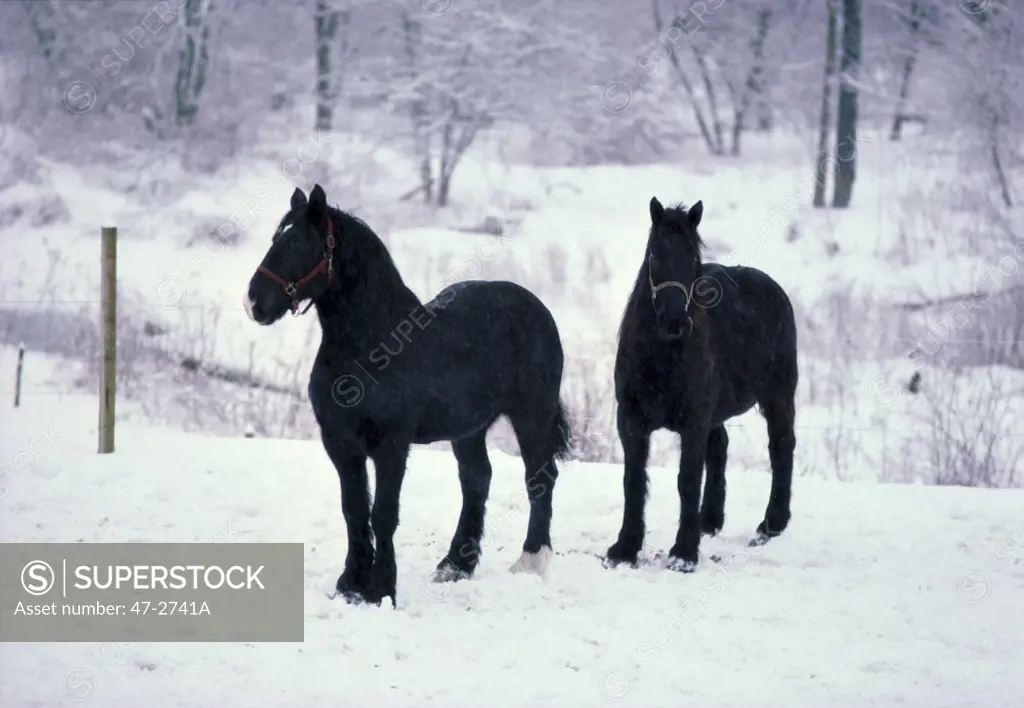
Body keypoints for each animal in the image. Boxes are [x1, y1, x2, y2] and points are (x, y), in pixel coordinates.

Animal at [242, 185, 573, 606]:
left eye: (299, 241)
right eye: (275, 239)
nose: (254, 303)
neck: (372, 347)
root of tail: (535, 306)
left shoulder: (391, 445)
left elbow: (383, 513)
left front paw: (381, 589)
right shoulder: (340, 444)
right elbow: (354, 510)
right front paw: (351, 583)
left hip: (533, 414)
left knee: (540, 477)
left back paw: (532, 560)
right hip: (469, 429)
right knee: (477, 479)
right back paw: (455, 565)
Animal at [602, 196, 794, 573]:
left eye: (692, 258)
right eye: (655, 255)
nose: (675, 321)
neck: (662, 355)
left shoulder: (693, 422)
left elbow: (687, 480)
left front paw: (683, 553)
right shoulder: (631, 421)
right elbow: (633, 480)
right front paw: (625, 548)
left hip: (778, 396)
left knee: (782, 447)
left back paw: (771, 525)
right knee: (720, 446)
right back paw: (710, 520)